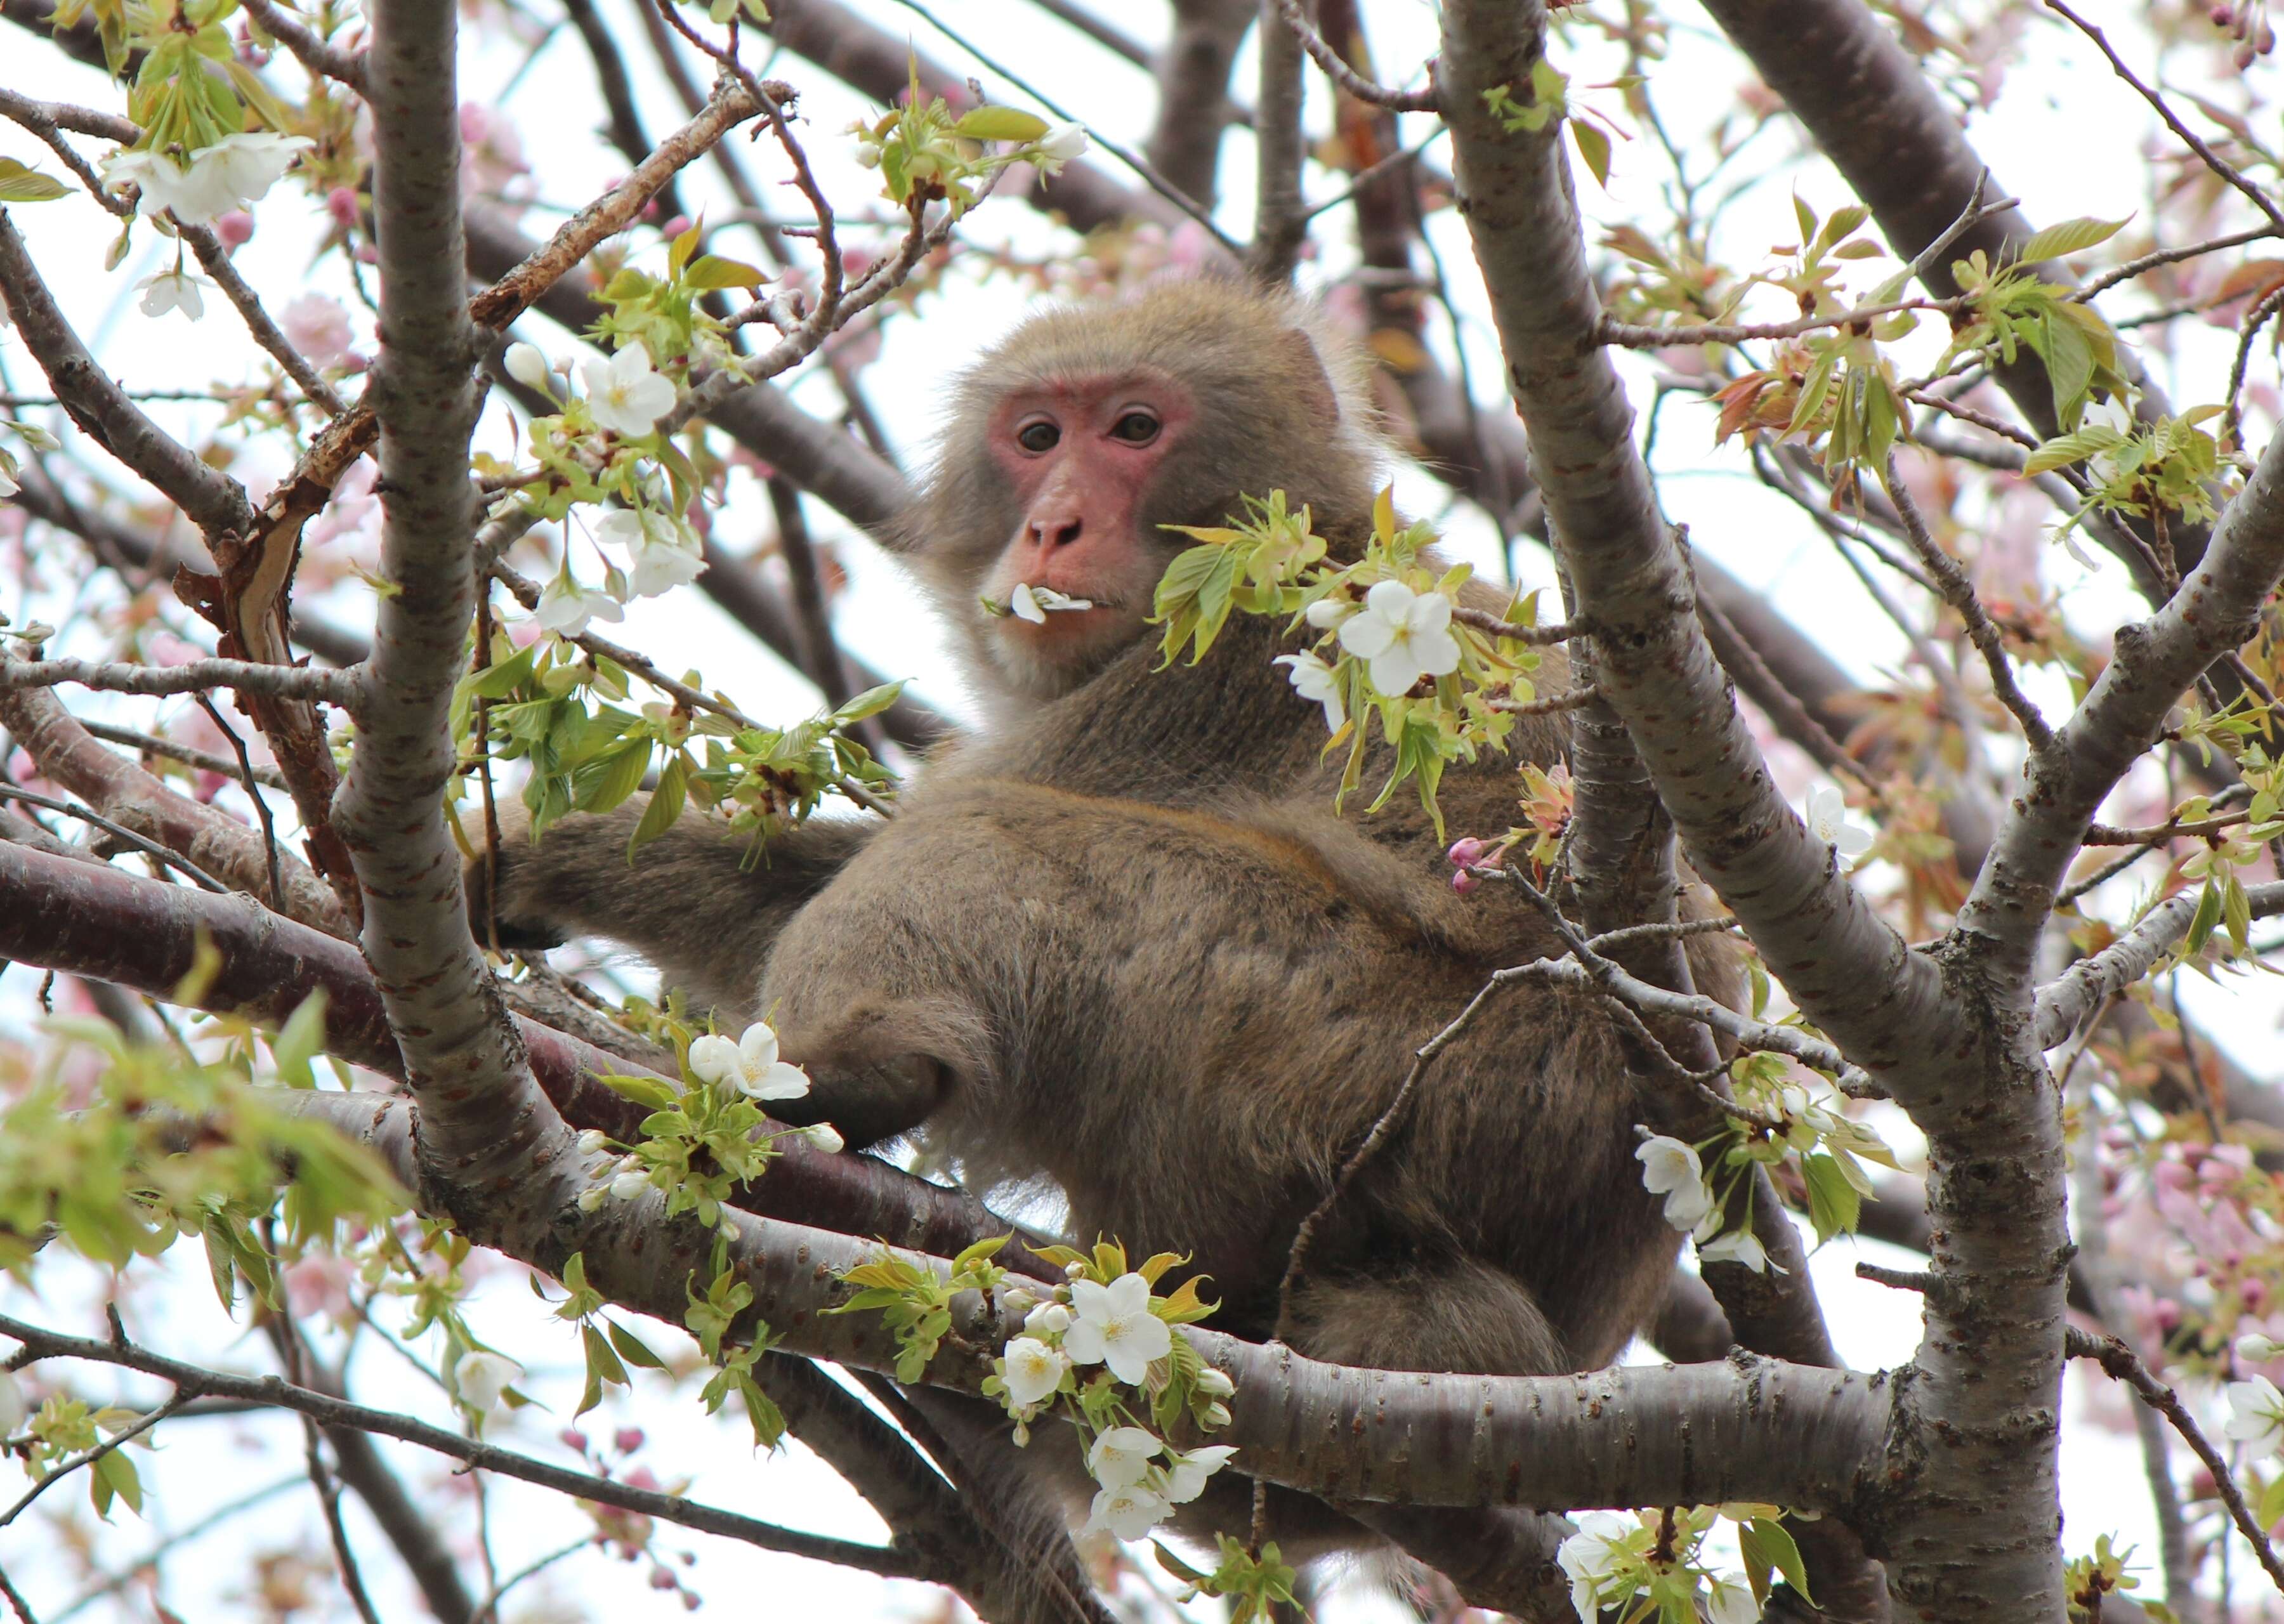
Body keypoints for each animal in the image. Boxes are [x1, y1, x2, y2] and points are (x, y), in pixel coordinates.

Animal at [477, 280, 1726, 1571]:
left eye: (1133, 429)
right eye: (1037, 439)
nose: (1052, 527)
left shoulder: (1213, 659)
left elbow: (928, 835)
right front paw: (518, 861)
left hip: (1366, 1052)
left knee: (988, 842)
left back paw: (847, 1076)